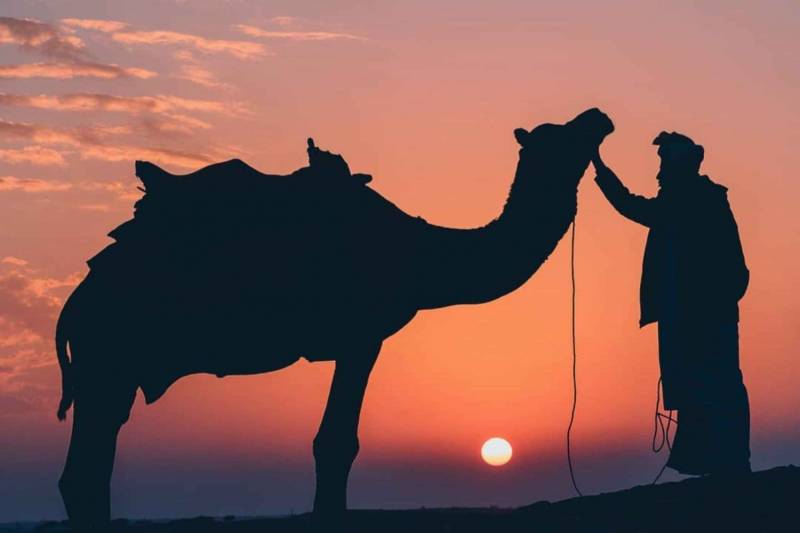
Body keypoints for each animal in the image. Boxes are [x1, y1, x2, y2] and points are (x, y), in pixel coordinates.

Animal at [54, 108, 613, 530]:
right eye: (560, 135)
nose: (597, 116)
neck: (421, 253)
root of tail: (75, 303)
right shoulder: (362, 335)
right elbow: (336, 443)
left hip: (114, 369)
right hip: (108, 355)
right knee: (86, 466)